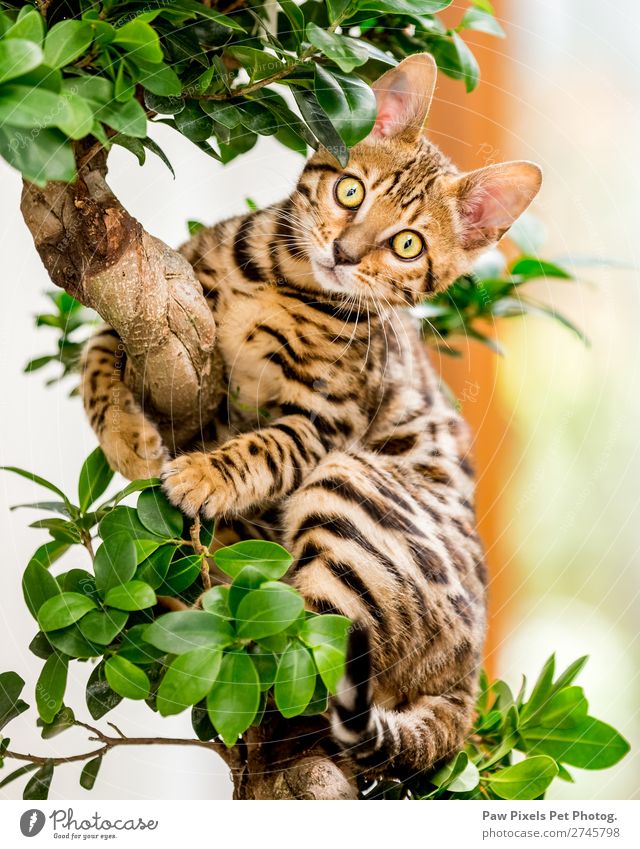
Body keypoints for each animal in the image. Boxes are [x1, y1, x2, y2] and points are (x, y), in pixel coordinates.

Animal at [80, 53, 540, 780]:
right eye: (350, 192)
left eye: (407, 245)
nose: (345, 252)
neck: (281, 280)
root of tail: (467, 687)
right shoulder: (165, 313)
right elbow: (96, 358)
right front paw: (128, 439)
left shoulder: (325, 419)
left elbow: (264, 446)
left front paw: (205, 476)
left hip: (351, 490)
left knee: (300, 651)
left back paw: (210, 610)